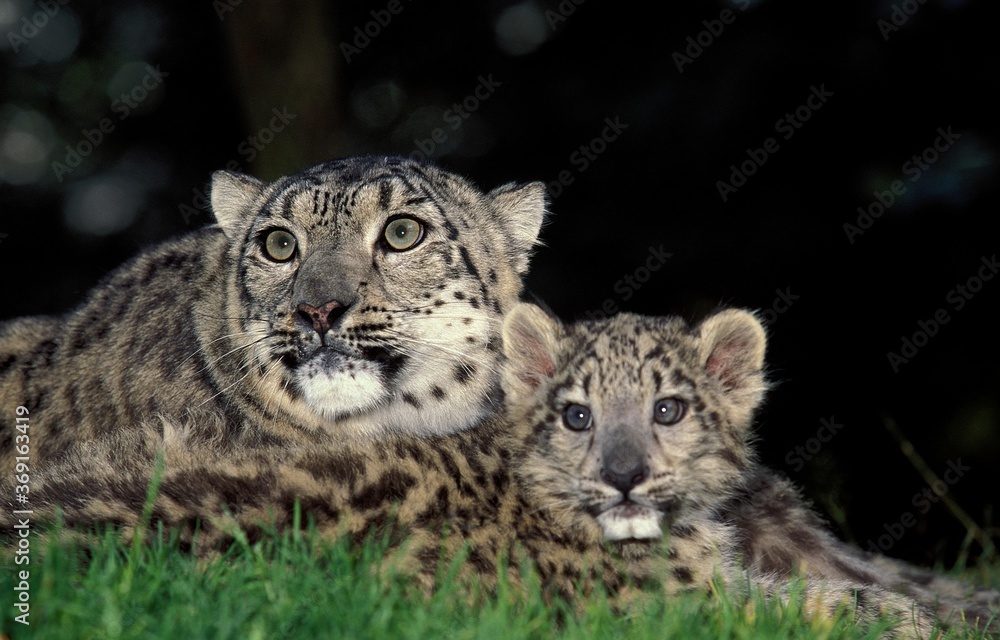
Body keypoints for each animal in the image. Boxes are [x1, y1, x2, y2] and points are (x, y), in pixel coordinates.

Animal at [3, 303, 949, 638]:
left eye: (669, 409)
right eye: (577, 414)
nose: (625, 475)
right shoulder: (689, 607)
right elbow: (815, 605)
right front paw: (905, 616)